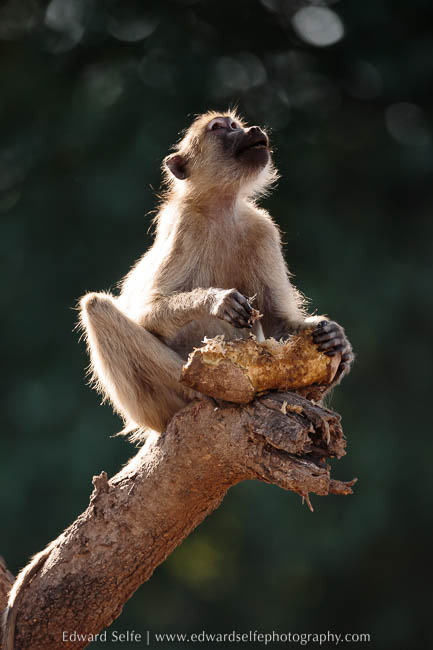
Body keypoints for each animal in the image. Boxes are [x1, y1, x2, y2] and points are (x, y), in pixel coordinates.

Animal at [79, 110, 353, 441]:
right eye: (220, 128)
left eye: (236, 125)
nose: (253, 129)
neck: (222, 210)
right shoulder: (185, 224)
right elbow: (146, 312)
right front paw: (217, 302)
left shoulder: (263, 229)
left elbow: (278, 323)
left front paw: (335, 339)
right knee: (96, 307)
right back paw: (214, 389)